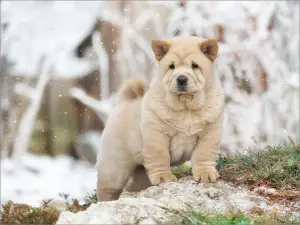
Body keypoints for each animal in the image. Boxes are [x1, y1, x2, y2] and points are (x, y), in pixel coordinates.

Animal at [96, 36, 225, 201]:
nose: (181, 78)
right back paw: (107, 201)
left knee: (137, 182)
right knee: (107, 187)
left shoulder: (209, 133)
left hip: (139, 170)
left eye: (195, 66)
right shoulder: (157, 133)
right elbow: (160, 156)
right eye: (172, 66)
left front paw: (206, 175)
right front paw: (164, 178)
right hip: (115, 163)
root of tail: (124, 102)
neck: (186, 108)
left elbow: (204, 154)